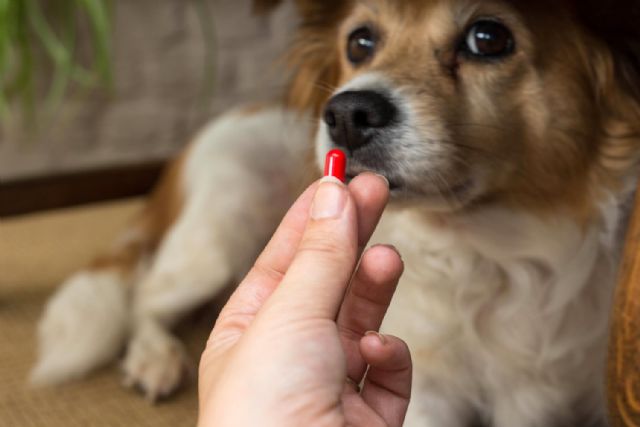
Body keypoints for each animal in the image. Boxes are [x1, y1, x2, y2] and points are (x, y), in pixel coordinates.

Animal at [31, 0, 640, 427]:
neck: (489, 251)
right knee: (144, 295)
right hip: (219, 236)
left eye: (488, 38)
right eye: (360, 41)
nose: (346, 112)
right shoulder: (430, 395)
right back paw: (155, 357)